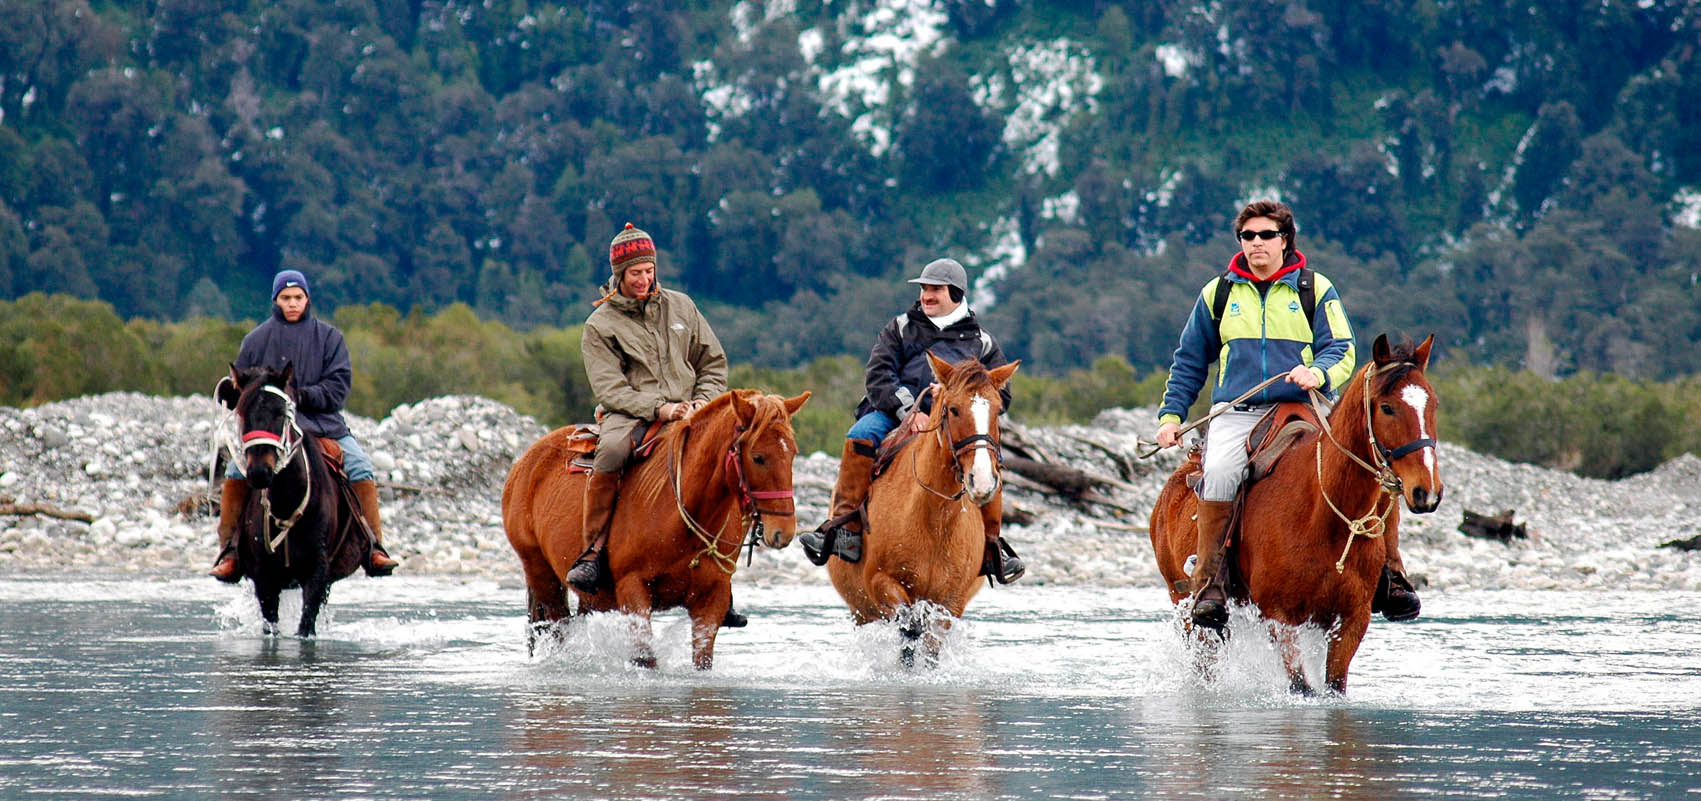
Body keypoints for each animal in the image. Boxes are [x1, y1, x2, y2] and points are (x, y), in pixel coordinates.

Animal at [500, 389, 806, 670]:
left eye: (792, 453)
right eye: (758, 457)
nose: (784, 531)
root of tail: (525, 463)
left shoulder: (712, 599)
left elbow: (702, 659)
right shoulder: (633, 591)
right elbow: (645, 658)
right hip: (541, 574)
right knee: (555, 627)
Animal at [826, 353, 1013, 666]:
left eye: (998, 411)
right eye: (953, 409)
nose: (983, 480)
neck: (934, 520)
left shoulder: (951, 600)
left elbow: (930, 641)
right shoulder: (881, 582)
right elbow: (909, 629)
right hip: (860, 610)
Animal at [1149, 333, 1442, 697]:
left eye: (1433, 405)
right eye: (1387, 407)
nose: (1427, 491)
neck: (1323, 516)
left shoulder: (1352, 619)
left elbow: (1333, 685)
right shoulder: (1281, 617)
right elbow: (1300, 685)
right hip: (1184, 604)